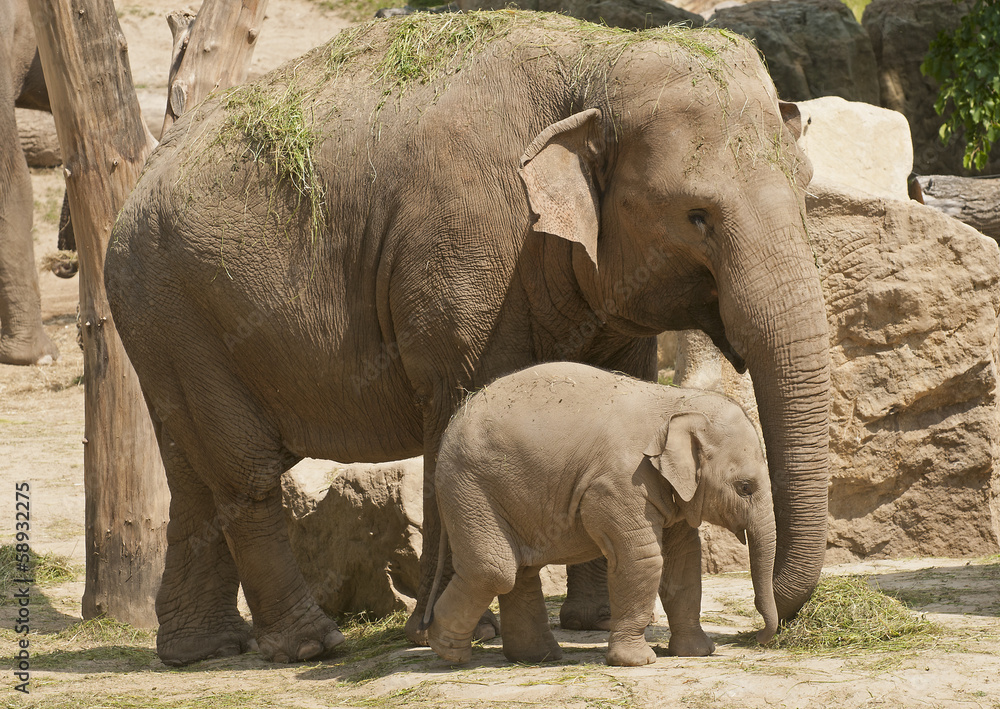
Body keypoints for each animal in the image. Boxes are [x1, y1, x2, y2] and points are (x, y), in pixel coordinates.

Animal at [425, 362, 777, 667]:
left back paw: (537, 658)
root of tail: (454, 420)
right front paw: (638, 662)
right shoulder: (621, 482)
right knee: (494, 570)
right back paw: (447, 651)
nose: (760, 638)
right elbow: (642, 558)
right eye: (745, 487)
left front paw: (699, 652)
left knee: (520, 569)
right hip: (470, 487)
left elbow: (685, 561)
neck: (675, 402)